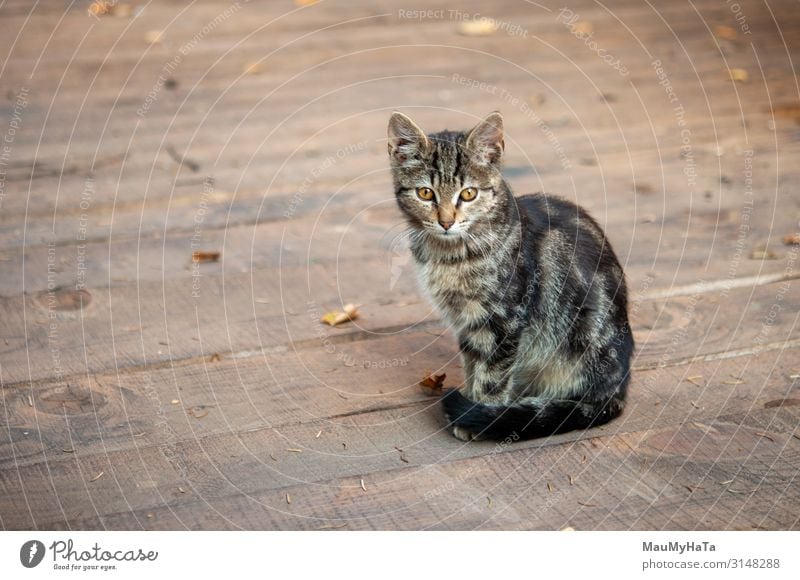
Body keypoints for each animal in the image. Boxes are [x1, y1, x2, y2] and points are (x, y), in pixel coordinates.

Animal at [386, 111, 632, 442]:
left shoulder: (502, 320)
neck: (450, 255)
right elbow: (472, 363)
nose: (446, 222)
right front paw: (472, 399)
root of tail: (618, 391)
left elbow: (491, 374)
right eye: (425, 193)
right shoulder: (466, 322)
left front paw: (480, 414)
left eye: (468, 194)